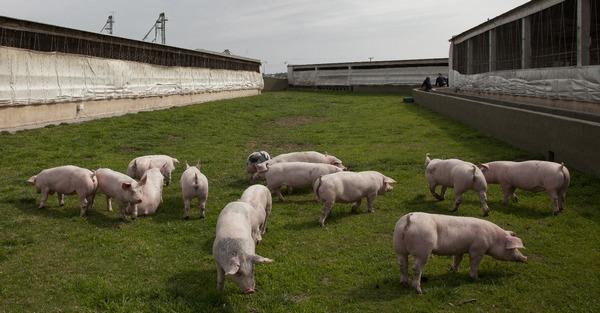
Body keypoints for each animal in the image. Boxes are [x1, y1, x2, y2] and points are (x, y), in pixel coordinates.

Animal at [394, 211, 524, 294]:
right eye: (513, 249)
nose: (525, 258)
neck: (493, 239)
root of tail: (410, 219)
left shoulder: (459, 249)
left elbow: (457, 259)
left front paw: (454, 271)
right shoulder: (477, 249)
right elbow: (474, 263)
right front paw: (477, 279)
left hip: (399, 246)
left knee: (402, 264)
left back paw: (404, 283)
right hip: (423, 249)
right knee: (416, 268)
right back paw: (419, 291)